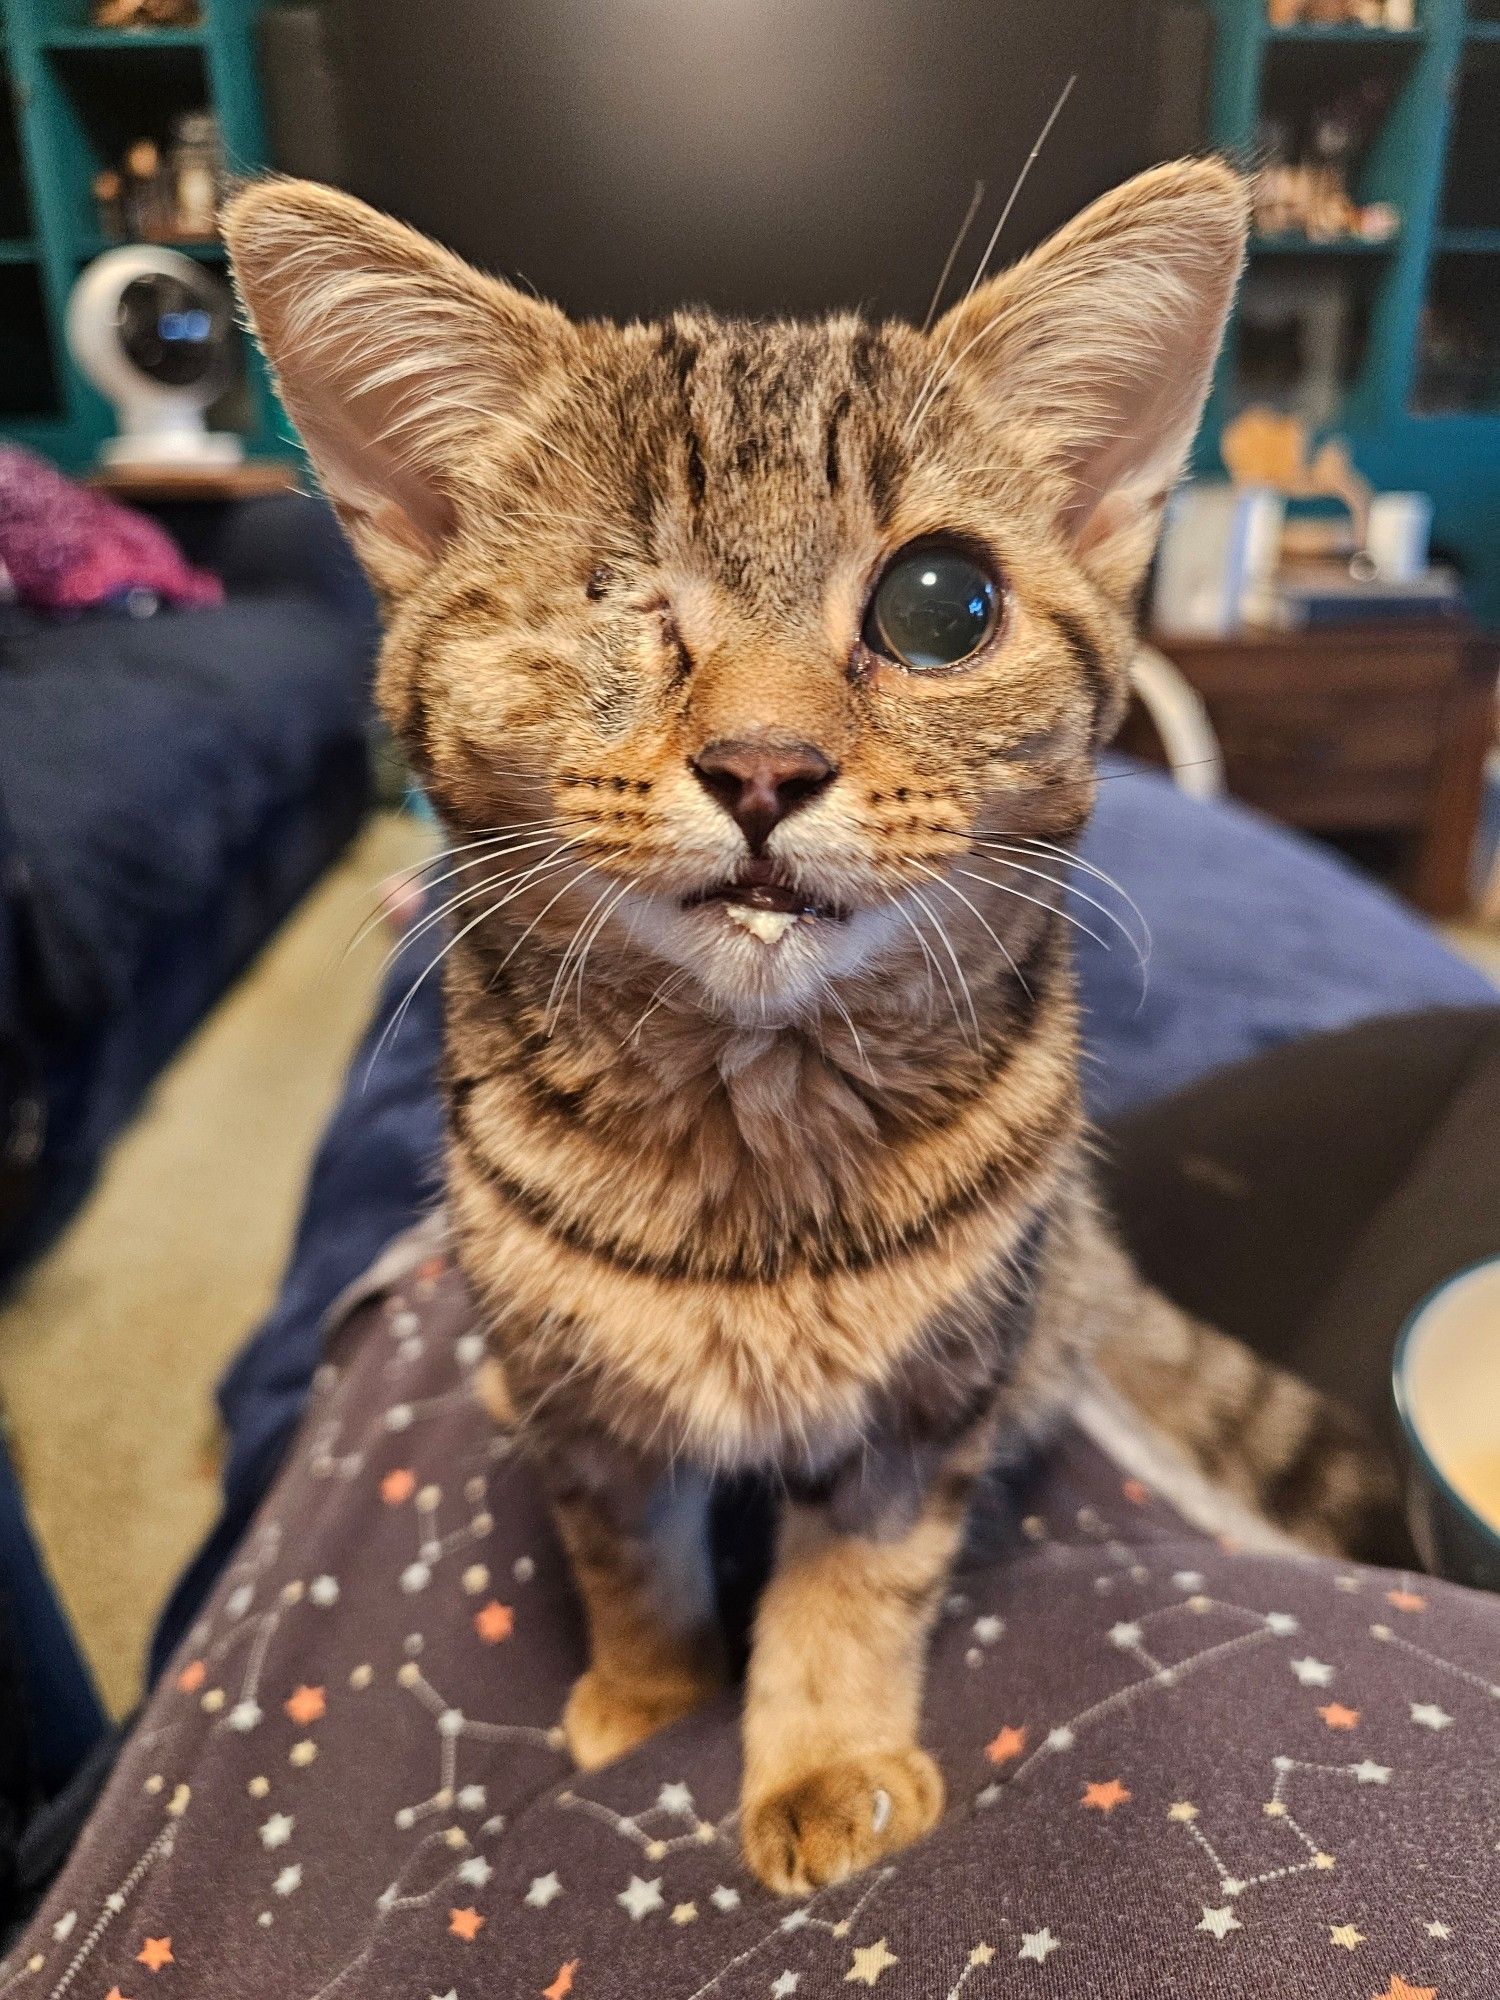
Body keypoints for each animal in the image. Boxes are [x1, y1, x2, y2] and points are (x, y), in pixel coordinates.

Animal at [229, 164, 1408, 1896]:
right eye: (612, 596)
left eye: (943, 603)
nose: (765, 765)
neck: (753, 1133)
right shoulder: (595, 1407)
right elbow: (624, 1551)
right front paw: (649, 1700)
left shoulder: (929, 1390)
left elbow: (858, 1575)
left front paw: (825, 1758)